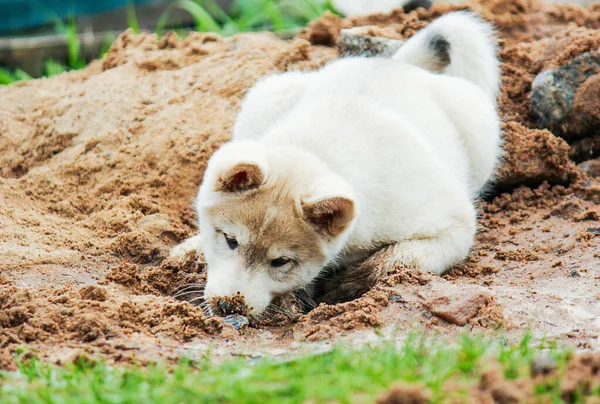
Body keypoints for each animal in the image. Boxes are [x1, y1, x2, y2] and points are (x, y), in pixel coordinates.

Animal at [172, 11, 502, 316]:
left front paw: (349, 284)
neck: (319, 152)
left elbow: (398, 258)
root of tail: (396, 64)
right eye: (230, 240)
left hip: (481, 127)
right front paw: (192, 248)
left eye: (281, 261)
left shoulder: (455, 225)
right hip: (265, 96)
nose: (228, 306)